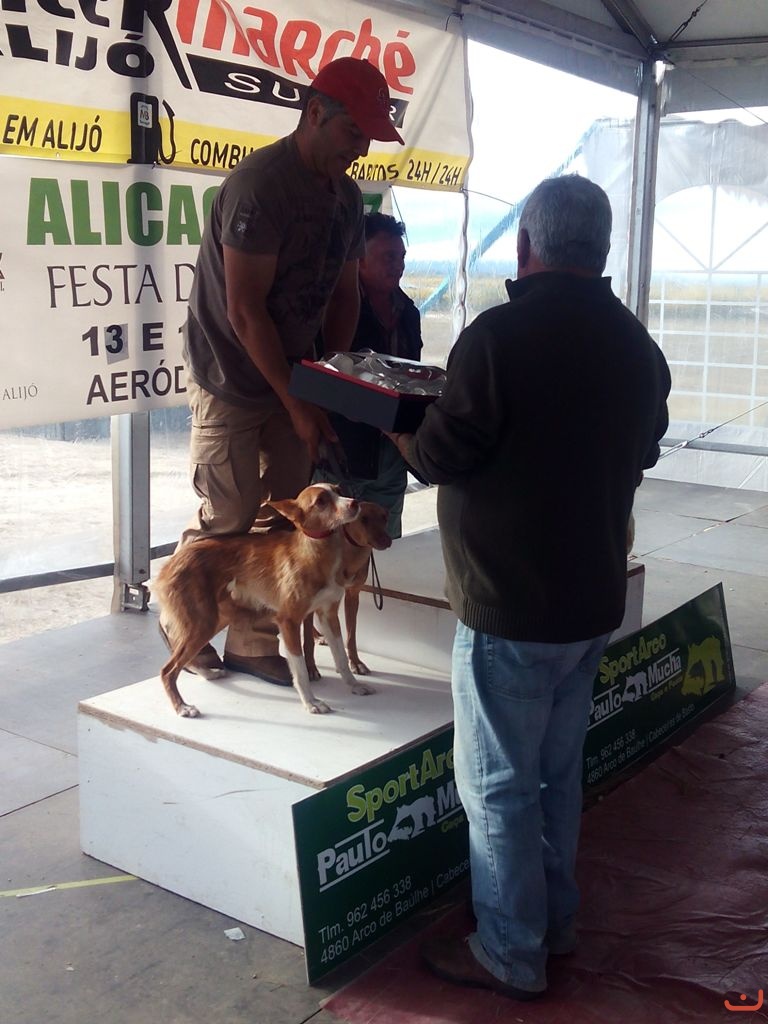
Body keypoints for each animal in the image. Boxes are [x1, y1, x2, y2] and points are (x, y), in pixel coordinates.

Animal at [153, 483, 376, 717]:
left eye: (338, 490)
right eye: (321, 501)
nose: (355, 503)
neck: (316, 552)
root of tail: (170, 563)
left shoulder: (328, 614)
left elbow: (341, 656)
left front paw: (354, 685)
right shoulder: (288, 621)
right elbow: (300, 670)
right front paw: (311, 702)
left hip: (215, 619)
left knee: (183, 660)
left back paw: (208, 674)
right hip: (202, 622)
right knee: (168, 670)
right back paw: (182, 706)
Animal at [303, 501, 392, 680]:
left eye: (384, 518)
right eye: (363, 519)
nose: (387, 540)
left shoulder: (352, 595)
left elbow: (351, 636)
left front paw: (355, 663)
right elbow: (307, 641)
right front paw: (310, 668)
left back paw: (318, 635)